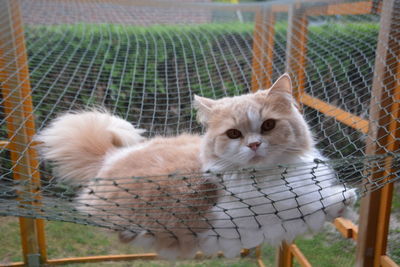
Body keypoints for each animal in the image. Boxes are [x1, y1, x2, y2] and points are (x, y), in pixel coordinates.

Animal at [36, 73, 356, 260]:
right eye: (234, 134)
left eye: (268, 126)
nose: (254, 145)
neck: (267, 176)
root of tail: (111, 156)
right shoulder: (247, 221)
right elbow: (307, 208)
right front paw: (343, 198)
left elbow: (314, 207)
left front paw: (343, 202)